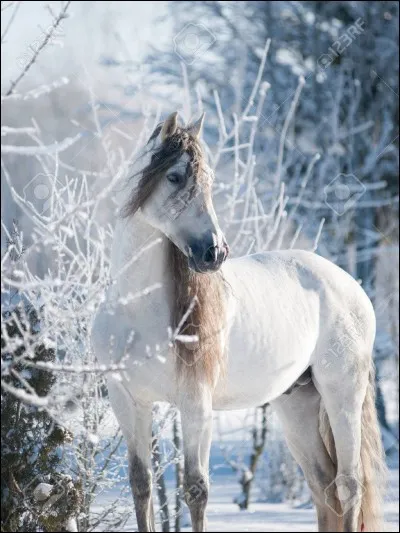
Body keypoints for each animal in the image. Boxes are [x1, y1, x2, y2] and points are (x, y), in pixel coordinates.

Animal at [92, 110, 386, 528]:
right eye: (174, 177)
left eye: (210, 180)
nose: (214, 252)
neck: (136, 308)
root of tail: (351, 287)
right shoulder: (128, 401)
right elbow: (142, 486)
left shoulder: (195, 403)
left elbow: (196, 489)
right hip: (297, 405)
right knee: (323, 487)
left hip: (341, 394)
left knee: (348, 485)